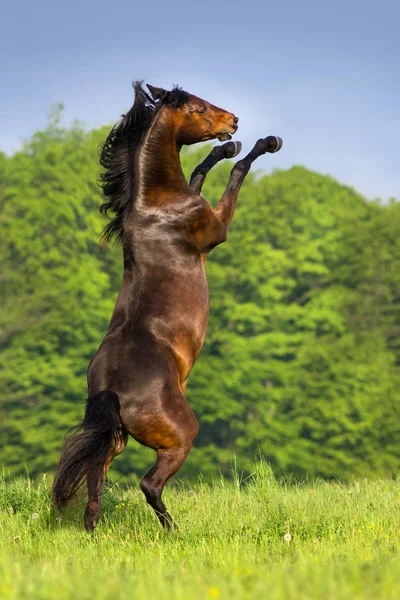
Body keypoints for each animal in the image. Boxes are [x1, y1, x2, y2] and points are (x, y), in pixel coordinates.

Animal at [52, 81, 282, 528]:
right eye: (198, 108)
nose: (233, 121)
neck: (156, 202)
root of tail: (113, 390)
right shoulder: (217, 228)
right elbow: (238, 172)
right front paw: (260, 144)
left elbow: (199, 171)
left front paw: (224, 149)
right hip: (180, 436)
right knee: (149, 484)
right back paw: (173, 528)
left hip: (114, 440)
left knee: (94, 487)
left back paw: (93, 529)